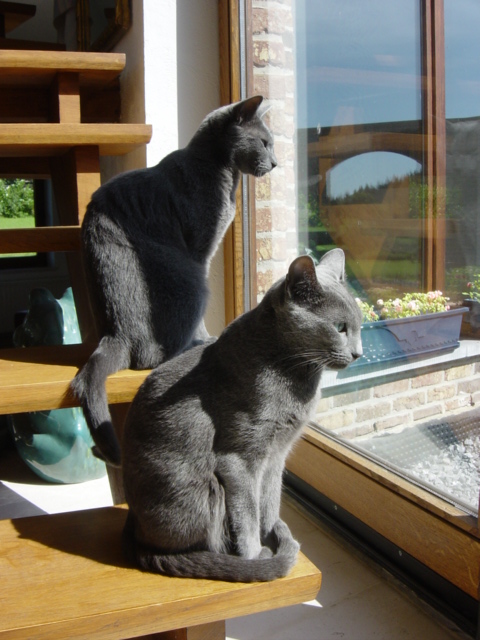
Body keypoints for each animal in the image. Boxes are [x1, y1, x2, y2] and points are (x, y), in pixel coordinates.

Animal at [71, 96, 276, 467]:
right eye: (264, 142)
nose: (276, 162)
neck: (222, 175)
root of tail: (116, 332)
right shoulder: (201, 251)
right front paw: (206, 337)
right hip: (192, 281)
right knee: (154, 357)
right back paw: (197, 346)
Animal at [122, 249, 363, 582]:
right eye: (340, 328)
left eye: (360, 326)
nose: (359, 353)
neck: (294, 373)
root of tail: (137, 537)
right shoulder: (239, 459)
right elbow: (247, 513)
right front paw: (256, 557)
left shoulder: (277, 456)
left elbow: (270, 502)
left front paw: (270, 532)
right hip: (205, 490)